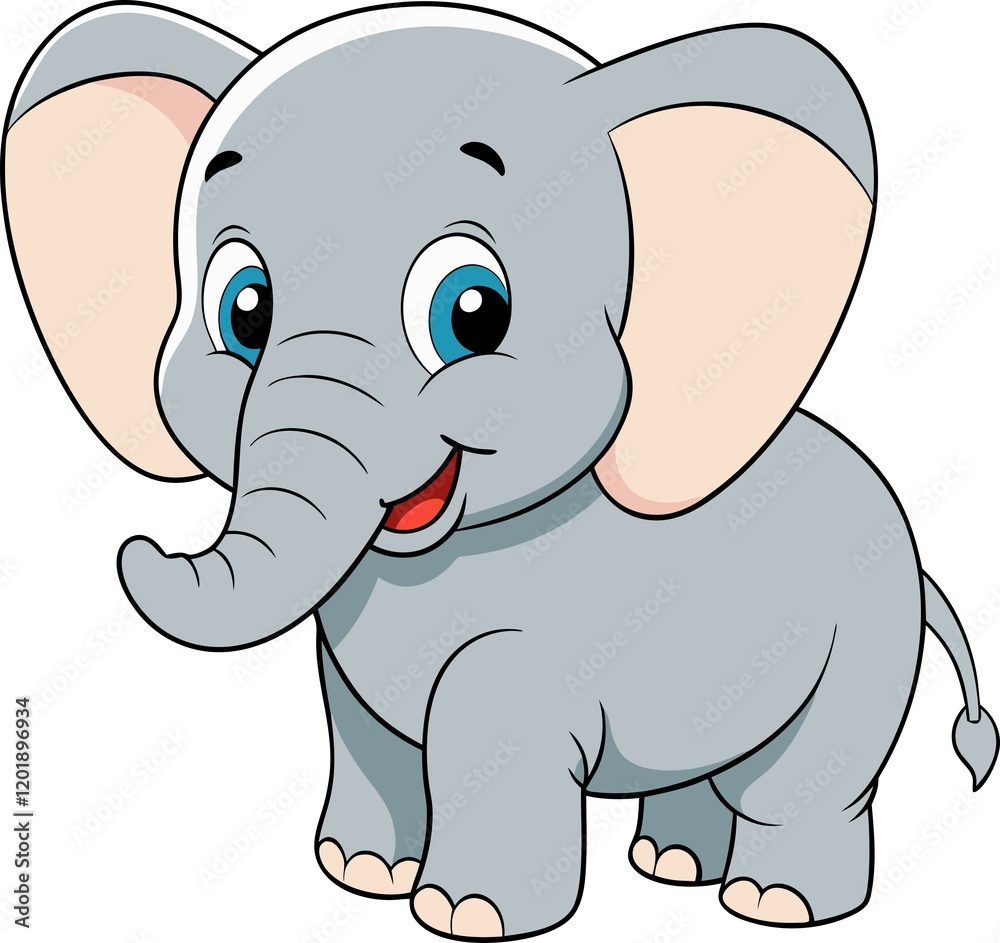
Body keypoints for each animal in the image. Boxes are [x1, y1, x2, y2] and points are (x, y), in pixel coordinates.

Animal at [5, 2, 997, 937]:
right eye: (243, 310)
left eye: (472, 312)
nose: (137, 546)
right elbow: (364, 729)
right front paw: (358, 873)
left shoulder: (535, 647)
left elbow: (486, 730)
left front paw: (465, 915)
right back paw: (672, 865)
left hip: (864, 635)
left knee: (803, 780)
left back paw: (774, 901)